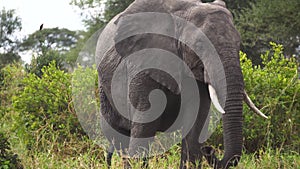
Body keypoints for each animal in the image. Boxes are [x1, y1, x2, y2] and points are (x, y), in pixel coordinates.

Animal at [96, 0, 268, 168]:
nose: (209, 149)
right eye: (199, 45)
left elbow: (196, 123)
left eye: (238, 44)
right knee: (117, 135)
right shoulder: (142, 67)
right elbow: (145, 125)